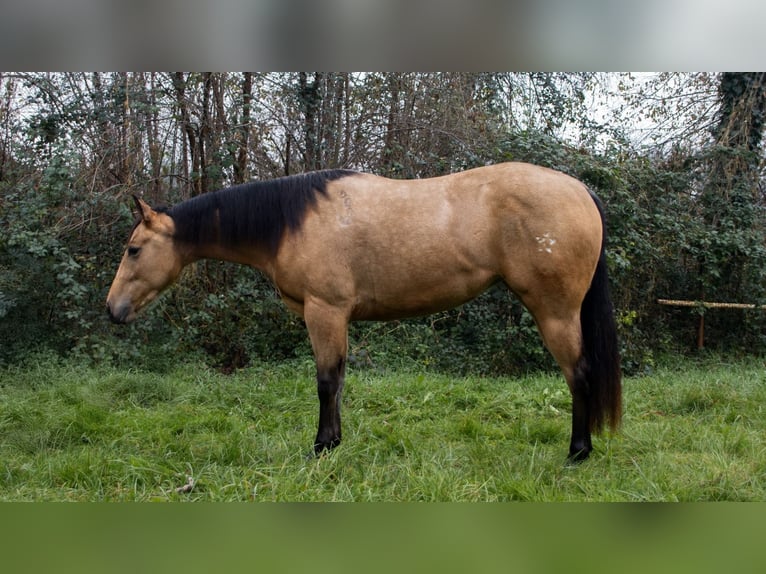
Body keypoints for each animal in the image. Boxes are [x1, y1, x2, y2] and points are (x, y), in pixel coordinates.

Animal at [106, 162, 624, 464]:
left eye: (133, 250)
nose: (113, 310)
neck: (293, 221)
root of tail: (580, 189)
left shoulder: (325, 312)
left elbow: (325, 382)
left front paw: (320, 448)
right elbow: (338, 381)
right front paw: (333, 443)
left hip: (555, 313)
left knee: (579, 374)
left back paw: (578, 452)